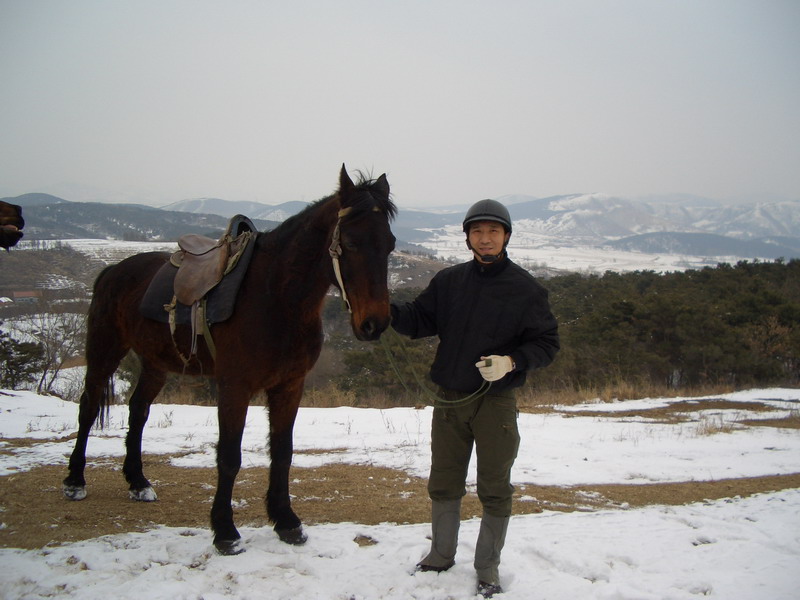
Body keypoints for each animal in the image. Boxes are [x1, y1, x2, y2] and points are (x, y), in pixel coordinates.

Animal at [62, 166, 396, 556]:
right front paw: (225, 531)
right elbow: (229, 456)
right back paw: (75, 480)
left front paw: (286, 522)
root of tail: (113, 270)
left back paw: (138, 482)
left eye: (390, 244)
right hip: (104, 351)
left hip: (155, 365)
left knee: (138, 411)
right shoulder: (234, 388)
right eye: (352, 243)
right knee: (88, 408)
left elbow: (283, 452)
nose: (374, 324)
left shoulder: (288, 387)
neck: (275, 297)